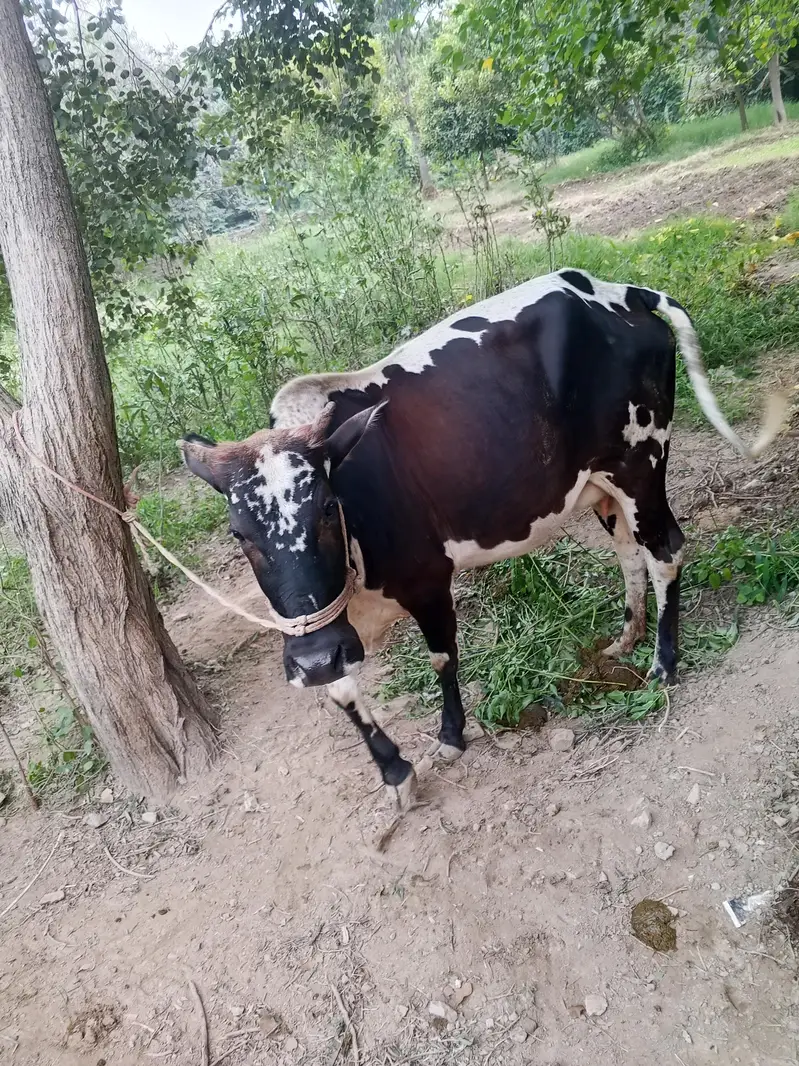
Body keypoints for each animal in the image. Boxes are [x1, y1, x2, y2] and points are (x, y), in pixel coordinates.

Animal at [180, 268, 783, 811]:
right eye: (239, 533)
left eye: (328, 508)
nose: (313, 658)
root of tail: (612, 290)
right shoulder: (324, 630)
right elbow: (343, 690)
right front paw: (395, 771)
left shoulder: (426, 579)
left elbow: (442, 657)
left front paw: (450, 737)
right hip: (601, 486)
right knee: (629, 552)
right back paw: (626, 639)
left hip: (641, 465)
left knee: (665, 550)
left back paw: (663, 664)